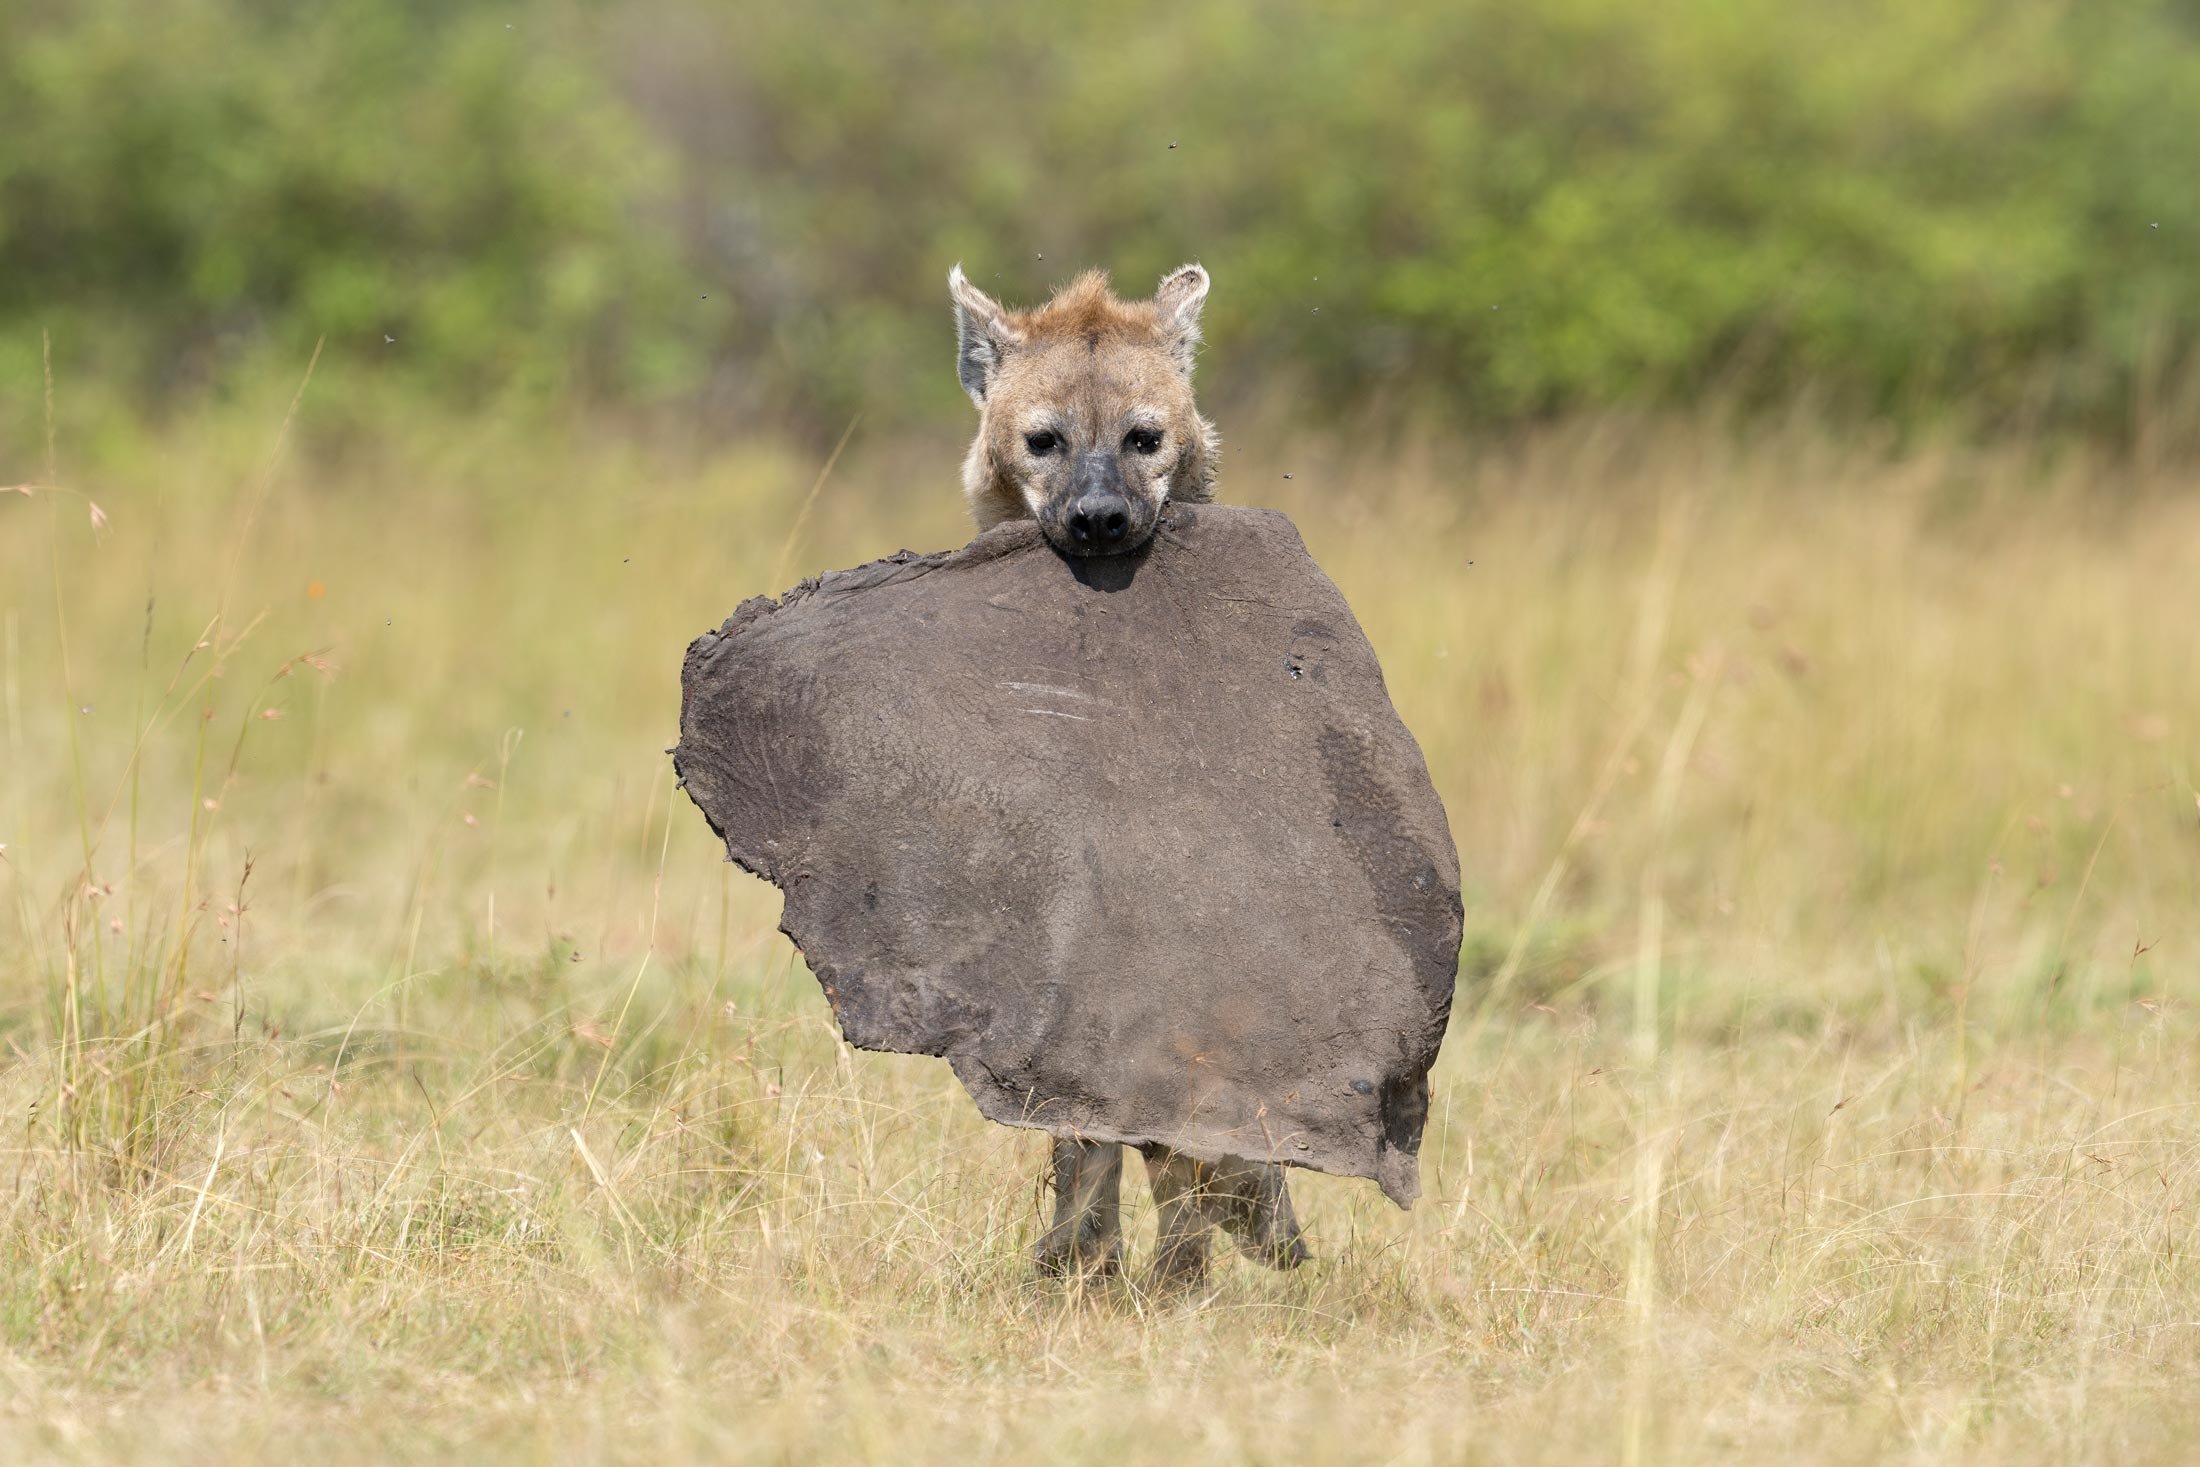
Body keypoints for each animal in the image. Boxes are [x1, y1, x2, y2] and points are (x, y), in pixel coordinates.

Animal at [948, 263, 1310, 1283]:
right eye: (1045, 439)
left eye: (1144, 437)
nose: (1101, 518)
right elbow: (1081, 1117)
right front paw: (1078, 1262)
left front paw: (1180, 1267)